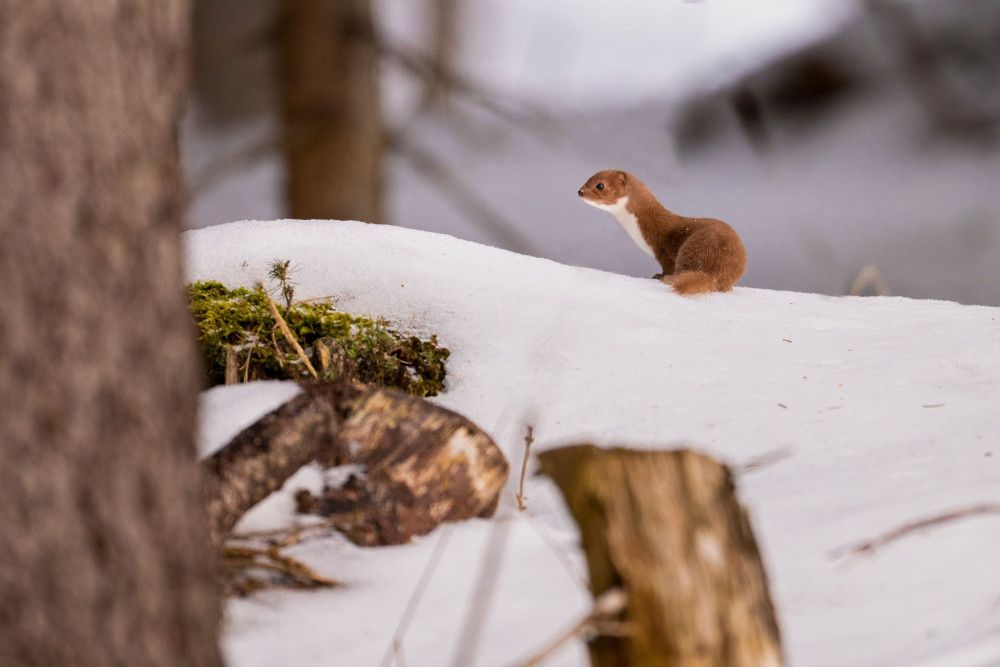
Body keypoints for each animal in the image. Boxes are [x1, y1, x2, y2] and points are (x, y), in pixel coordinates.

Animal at [580, 171, 744, 296]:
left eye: (600, 185)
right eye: (587, 179)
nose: (580, 191)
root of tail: (713, 272)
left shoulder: (664, 249)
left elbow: (667, 264)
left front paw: (660, 275)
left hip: (691, 246)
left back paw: (668, 279)